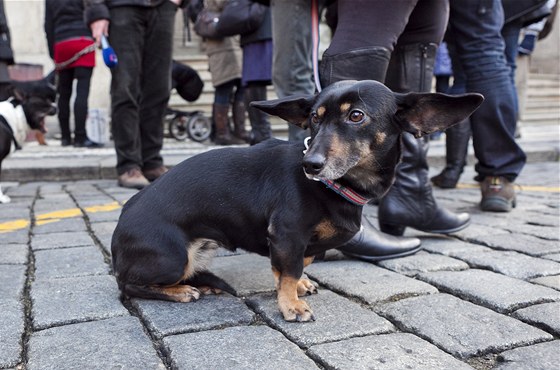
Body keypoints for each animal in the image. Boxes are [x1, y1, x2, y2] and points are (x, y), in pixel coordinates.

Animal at [111, 80, 484, 320]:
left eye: (357, 116)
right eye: (315, 118)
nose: (310, 165)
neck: (335, 186)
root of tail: (118, 232)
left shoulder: (295, 243)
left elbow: (297, 264)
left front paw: (295, 287)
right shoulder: (287, 233)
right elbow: (289, 268)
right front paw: (290, 305)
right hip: (173, 257)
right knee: (128, 286)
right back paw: (179, 291)